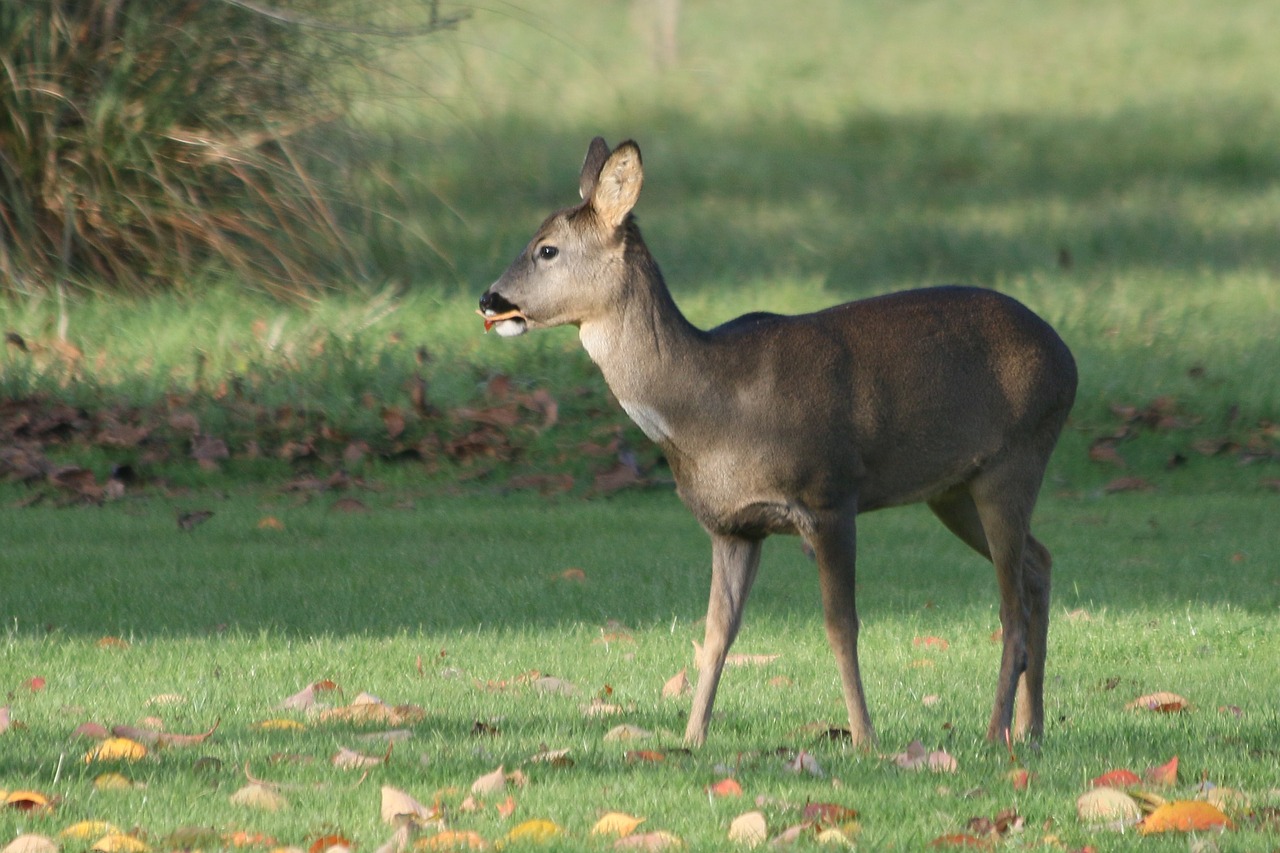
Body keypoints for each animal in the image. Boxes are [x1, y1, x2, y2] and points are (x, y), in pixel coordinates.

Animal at [476, 137, 1075, 742]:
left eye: (547, 249)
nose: (488, 299)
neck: (713, 412)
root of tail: (1067, 358)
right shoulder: (731, 526)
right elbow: (716, 632)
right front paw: (691, 737)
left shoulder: (831, 495)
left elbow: (841, 626)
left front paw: (864, 738)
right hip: (953, 490)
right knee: (1040, 563)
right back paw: (1032, 728)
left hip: (1016, 457)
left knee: (1011, 606)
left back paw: (997, 732)